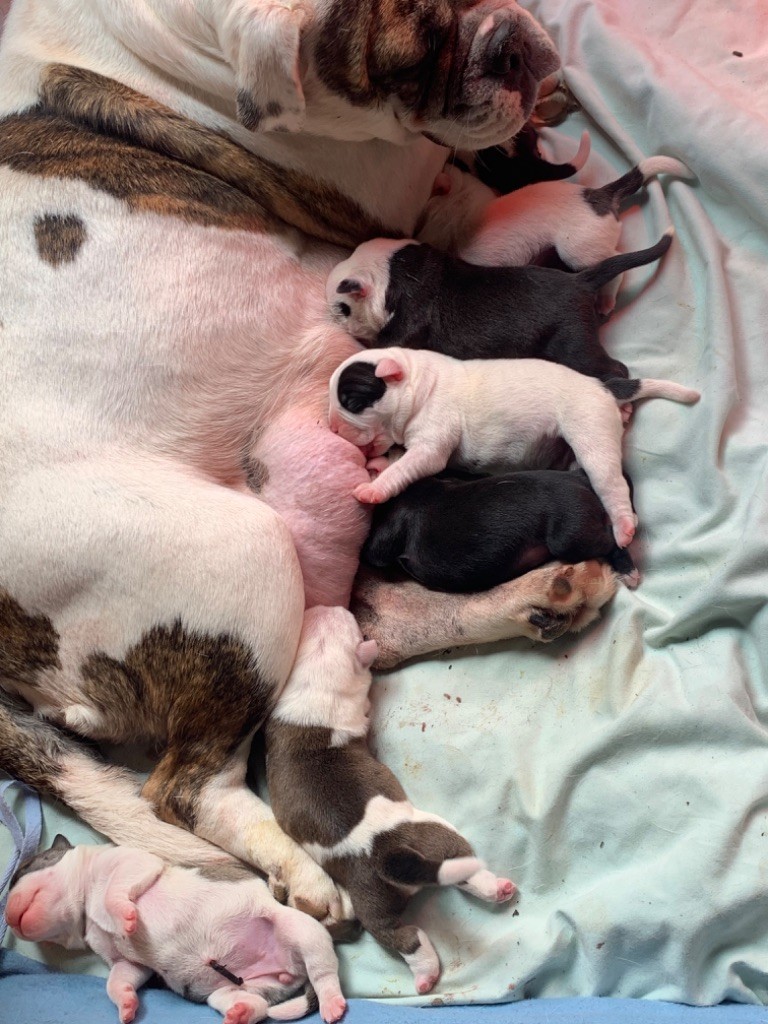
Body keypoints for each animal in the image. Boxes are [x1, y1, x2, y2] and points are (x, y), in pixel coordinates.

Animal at [6, 839, 346, 1024]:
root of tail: (292, 970)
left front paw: (125, 917)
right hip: (248, 987)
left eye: (24, 869)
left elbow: (116, 890)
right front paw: (126, 1003)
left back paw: (332, 1004)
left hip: (303, 932)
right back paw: (240, 1012)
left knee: (325, 974)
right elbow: (117, 981)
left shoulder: (134, 863)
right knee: (254, 1004)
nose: (7, 916)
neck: (87, 908)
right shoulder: (127, 963)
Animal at [327, 232, 675, 385]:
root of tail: (582, 281)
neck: (390, 269)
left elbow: (391, 338)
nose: (334, 318)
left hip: (575, 346)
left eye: (343, 308)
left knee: (616, 369)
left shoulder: (413, 312)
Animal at [327, 346, 700, 552]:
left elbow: (406, 467)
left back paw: (624, 527)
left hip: (592, 435)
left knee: (613, 485)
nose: (330, 428)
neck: (418, 383)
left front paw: (373, 489)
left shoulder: (431, 444)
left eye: (351, 402)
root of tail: (601, 386)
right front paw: (377, 464)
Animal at [364, 466, 638, 593]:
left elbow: (372, 551)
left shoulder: (386, 537)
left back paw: (629, 569)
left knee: (613, 540)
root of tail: (579, 477)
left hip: (570, 536)